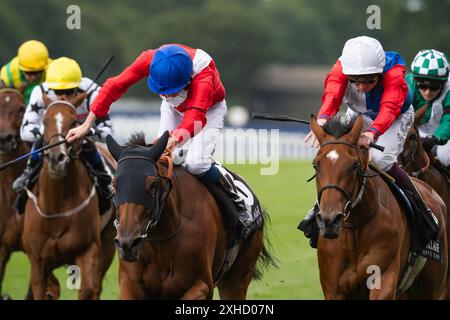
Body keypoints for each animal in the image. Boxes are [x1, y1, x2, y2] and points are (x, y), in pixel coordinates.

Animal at [22, 95, 116, 300]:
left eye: (74, 122)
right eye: (44, 121)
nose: (57, 158)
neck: (57, 207)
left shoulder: (88, 250)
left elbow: (87, 289)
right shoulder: (36, 260)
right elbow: (44, 289)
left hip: (108, 242)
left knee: (96, 287)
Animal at [106, 131, 274, 298]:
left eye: (153, 184)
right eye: (114, 184)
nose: (127, 244)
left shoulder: (202, 284)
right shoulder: (130, 284)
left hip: (237, 279)